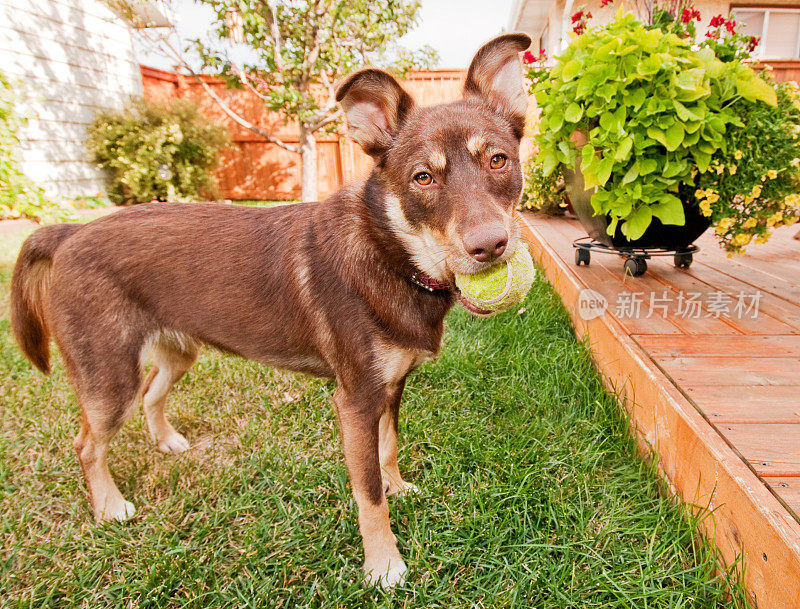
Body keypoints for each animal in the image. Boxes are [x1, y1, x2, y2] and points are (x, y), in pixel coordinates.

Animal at [9, 32, 532, 584]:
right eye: (423, 178)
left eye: (499, 161)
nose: (491, 246)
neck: (389, 253)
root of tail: (69, 232)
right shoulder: (355, 400)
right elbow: (367, 493)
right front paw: (383, 563)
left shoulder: (391, 387)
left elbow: (388, 449)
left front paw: (398, 487)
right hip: (109, 378)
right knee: (88, 444)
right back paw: (109, 507)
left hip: (176, 352)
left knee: (152, 393)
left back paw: (165, 442)